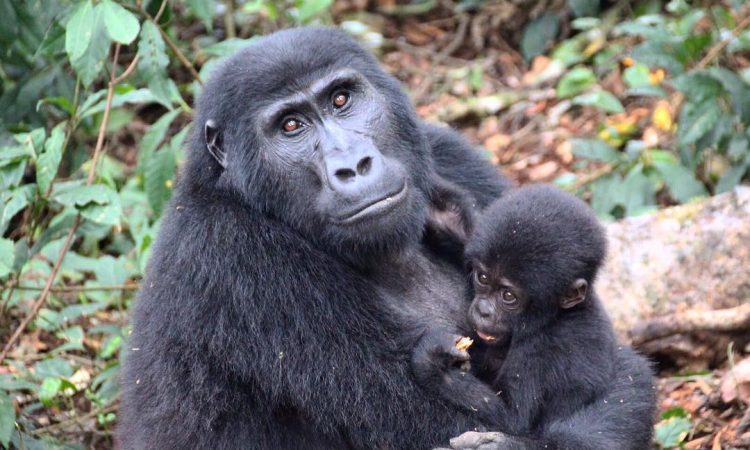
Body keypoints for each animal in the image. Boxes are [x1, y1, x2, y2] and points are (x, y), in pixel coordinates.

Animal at [414, 185, 656, 448]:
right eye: (483, 278)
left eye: (508, 296)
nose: (483, 311)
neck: (557, 315)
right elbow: (467, 230)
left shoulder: (544, 347)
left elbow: (512, 420)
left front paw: (433, 361)